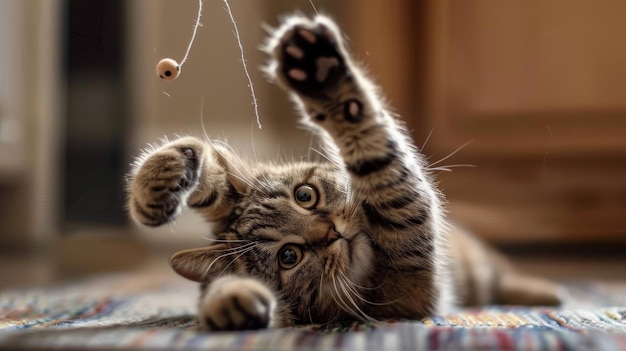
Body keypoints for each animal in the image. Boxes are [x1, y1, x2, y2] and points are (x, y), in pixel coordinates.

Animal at [124, 15, 560, 332]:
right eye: (289, 257)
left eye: (305, 195)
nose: (331, 233)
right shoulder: (412, 257)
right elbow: (382, 162)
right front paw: (233, 303)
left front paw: (157, 182)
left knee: (505, 272)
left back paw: (544, 289)